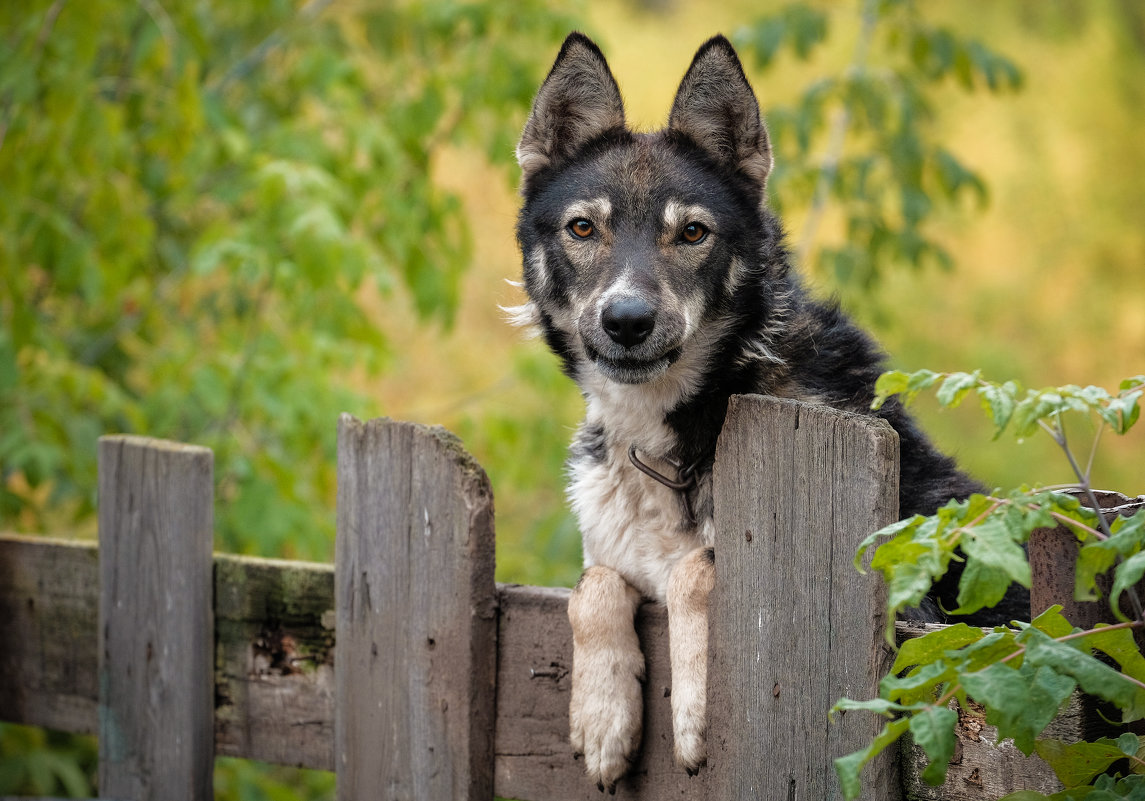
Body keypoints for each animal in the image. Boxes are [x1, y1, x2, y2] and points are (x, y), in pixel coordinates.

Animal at [510, 31, 1030, 787]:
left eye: (692, 234)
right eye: (582, 228)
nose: (627, 321)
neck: (676, 429)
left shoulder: (914, 611)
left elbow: (698, 566)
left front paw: (694, 710)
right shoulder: (607, 549)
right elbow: (593, 582)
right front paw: (602, 716)